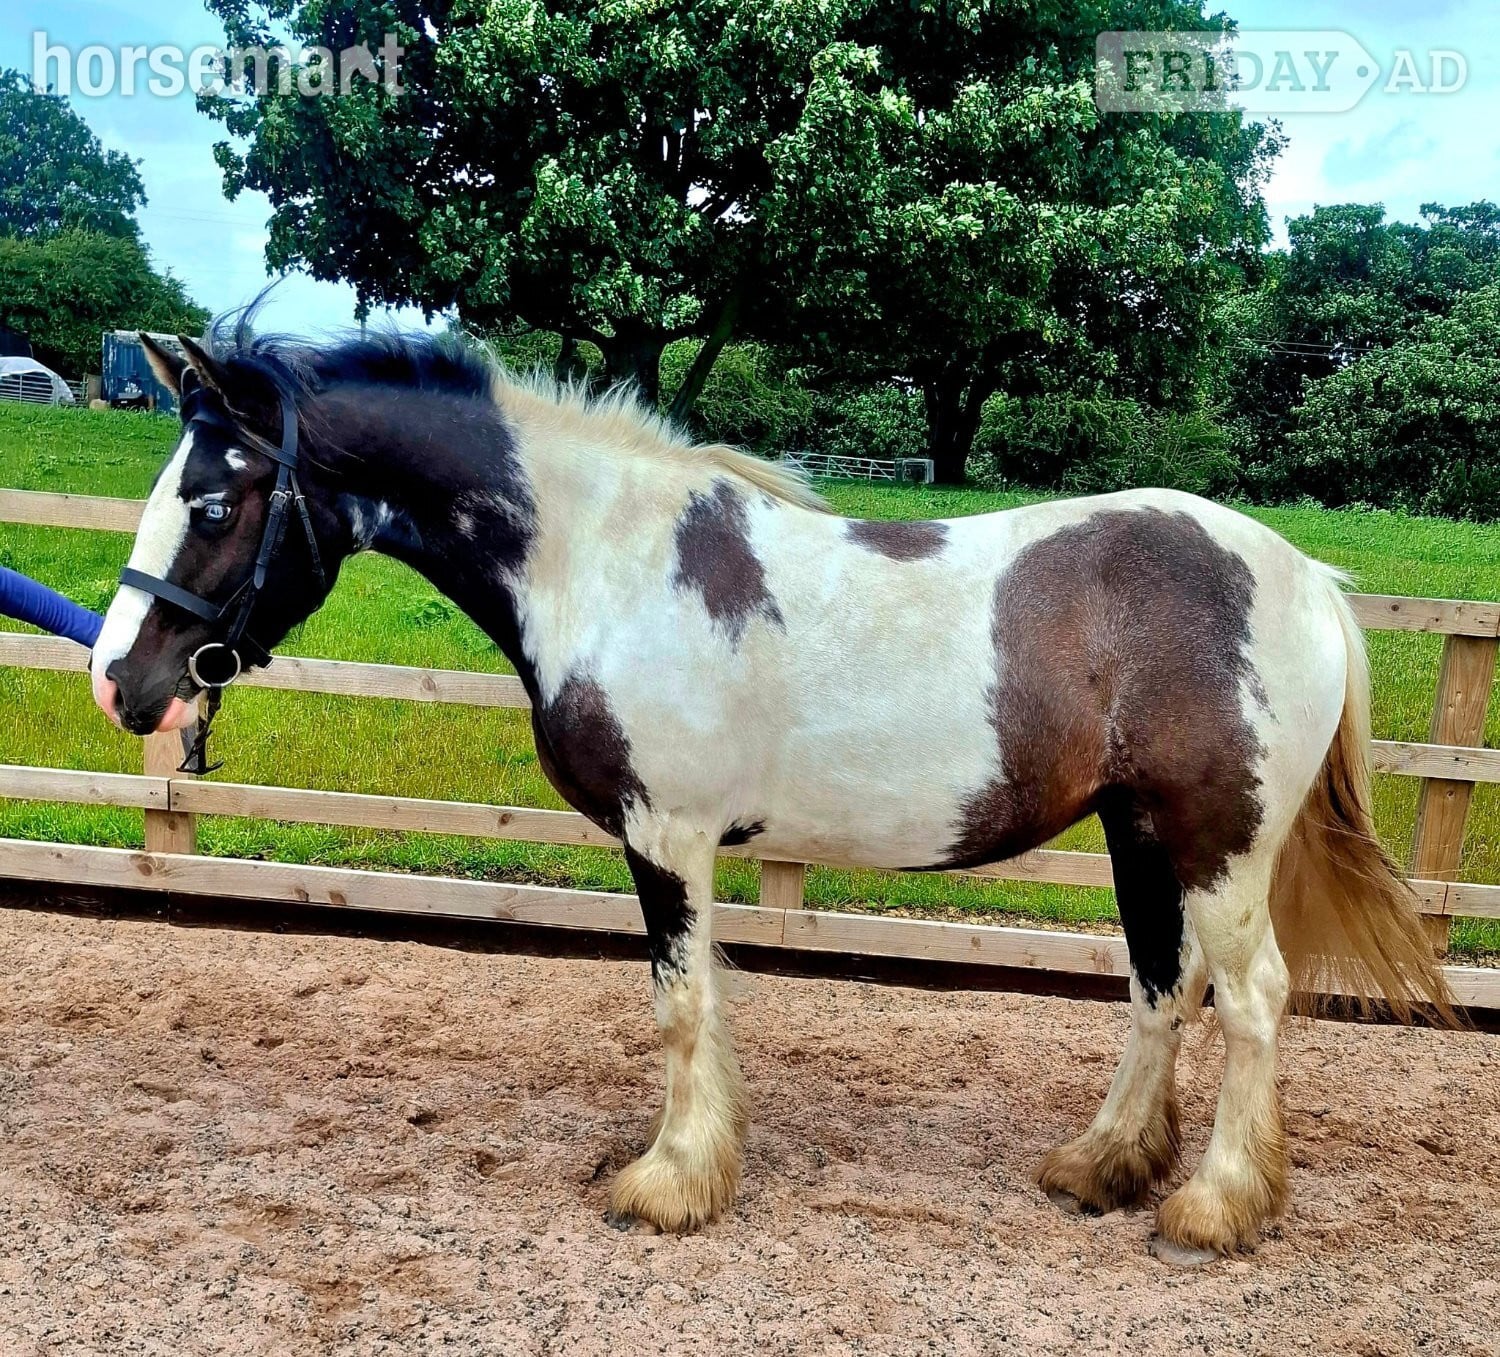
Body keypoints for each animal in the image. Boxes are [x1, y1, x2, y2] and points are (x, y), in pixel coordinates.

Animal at [89, 322, 1453, 1265]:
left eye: (214, 499)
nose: (118, 680)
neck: (609, 562)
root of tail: (1305, 576)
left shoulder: (667, 836)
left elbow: (682, 1004)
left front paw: (671, 1181)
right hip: (1139, 833)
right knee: (1162, 988)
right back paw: (1102, 1165)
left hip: (1217, 841)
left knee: (1254, 995)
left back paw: (1214, 1207)